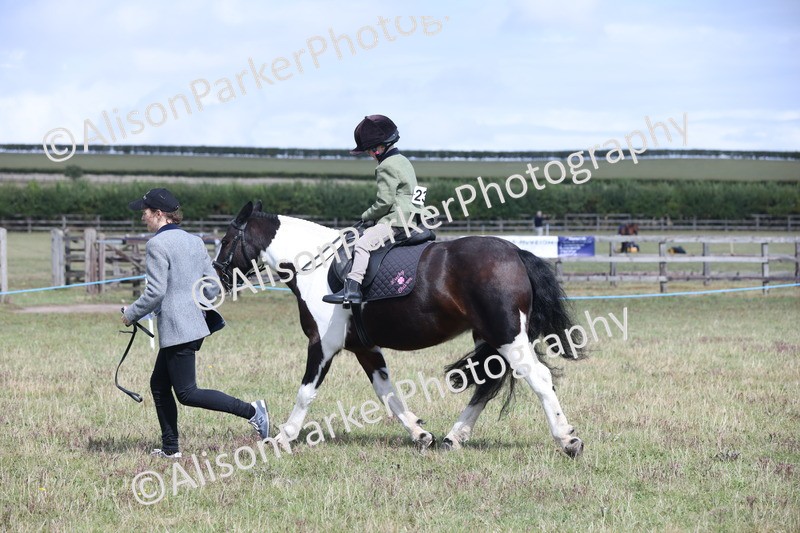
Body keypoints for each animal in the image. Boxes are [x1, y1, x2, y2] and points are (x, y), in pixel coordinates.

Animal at [213, 201, 586, 457]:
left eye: (227, 240)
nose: (214, 282)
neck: (314, 266)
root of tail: (515, 252)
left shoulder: (322, 344)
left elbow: (306, 393)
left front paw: (282, 438)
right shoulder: (365, 348)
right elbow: (387, 393)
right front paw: (420, 435)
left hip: (507, 335)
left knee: (539, 378)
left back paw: (567, 439)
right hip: (493, 338)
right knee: (486, 384)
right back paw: (453, 437)